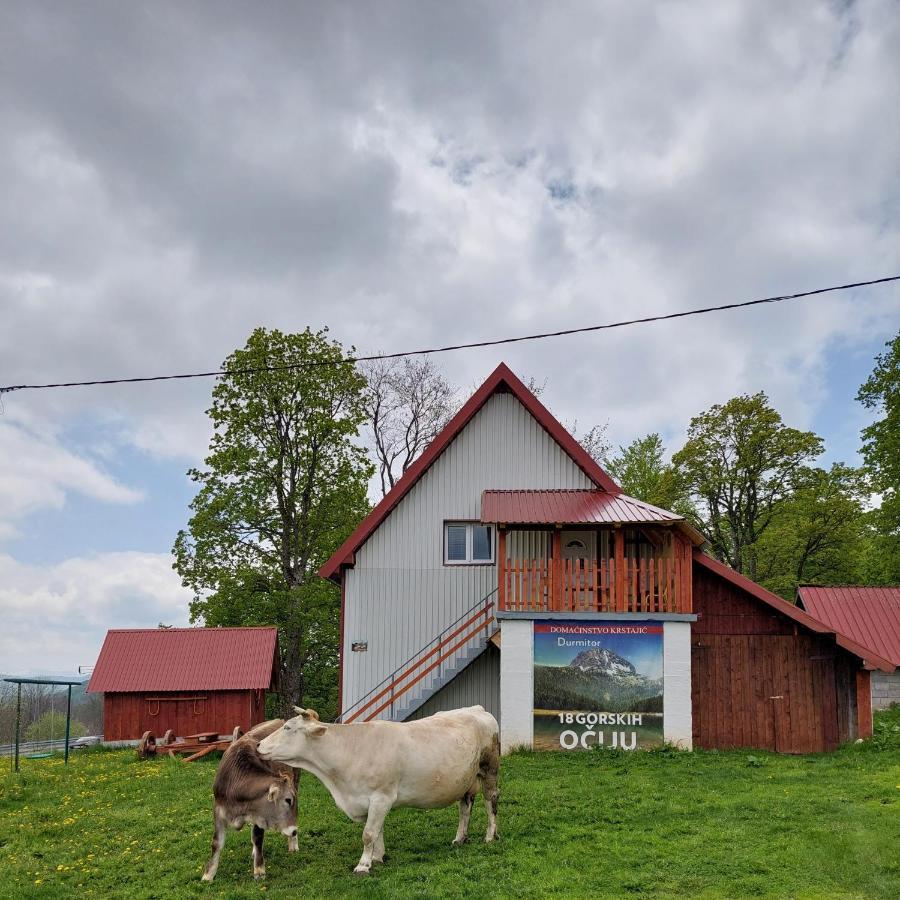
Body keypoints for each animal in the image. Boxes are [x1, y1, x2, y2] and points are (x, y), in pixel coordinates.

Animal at [258, 704, 500, 872]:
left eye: (287, 727)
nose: (259, 744)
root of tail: (476, 709)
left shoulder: (381, 797)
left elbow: (368, 833)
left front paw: (363, 865)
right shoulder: (369, 801)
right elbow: (377, 831)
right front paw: (377, 858)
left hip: (489, 770)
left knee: (491, 801)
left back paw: (490, 836)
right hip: (466, 779)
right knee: (465, 806)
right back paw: (460, 838)